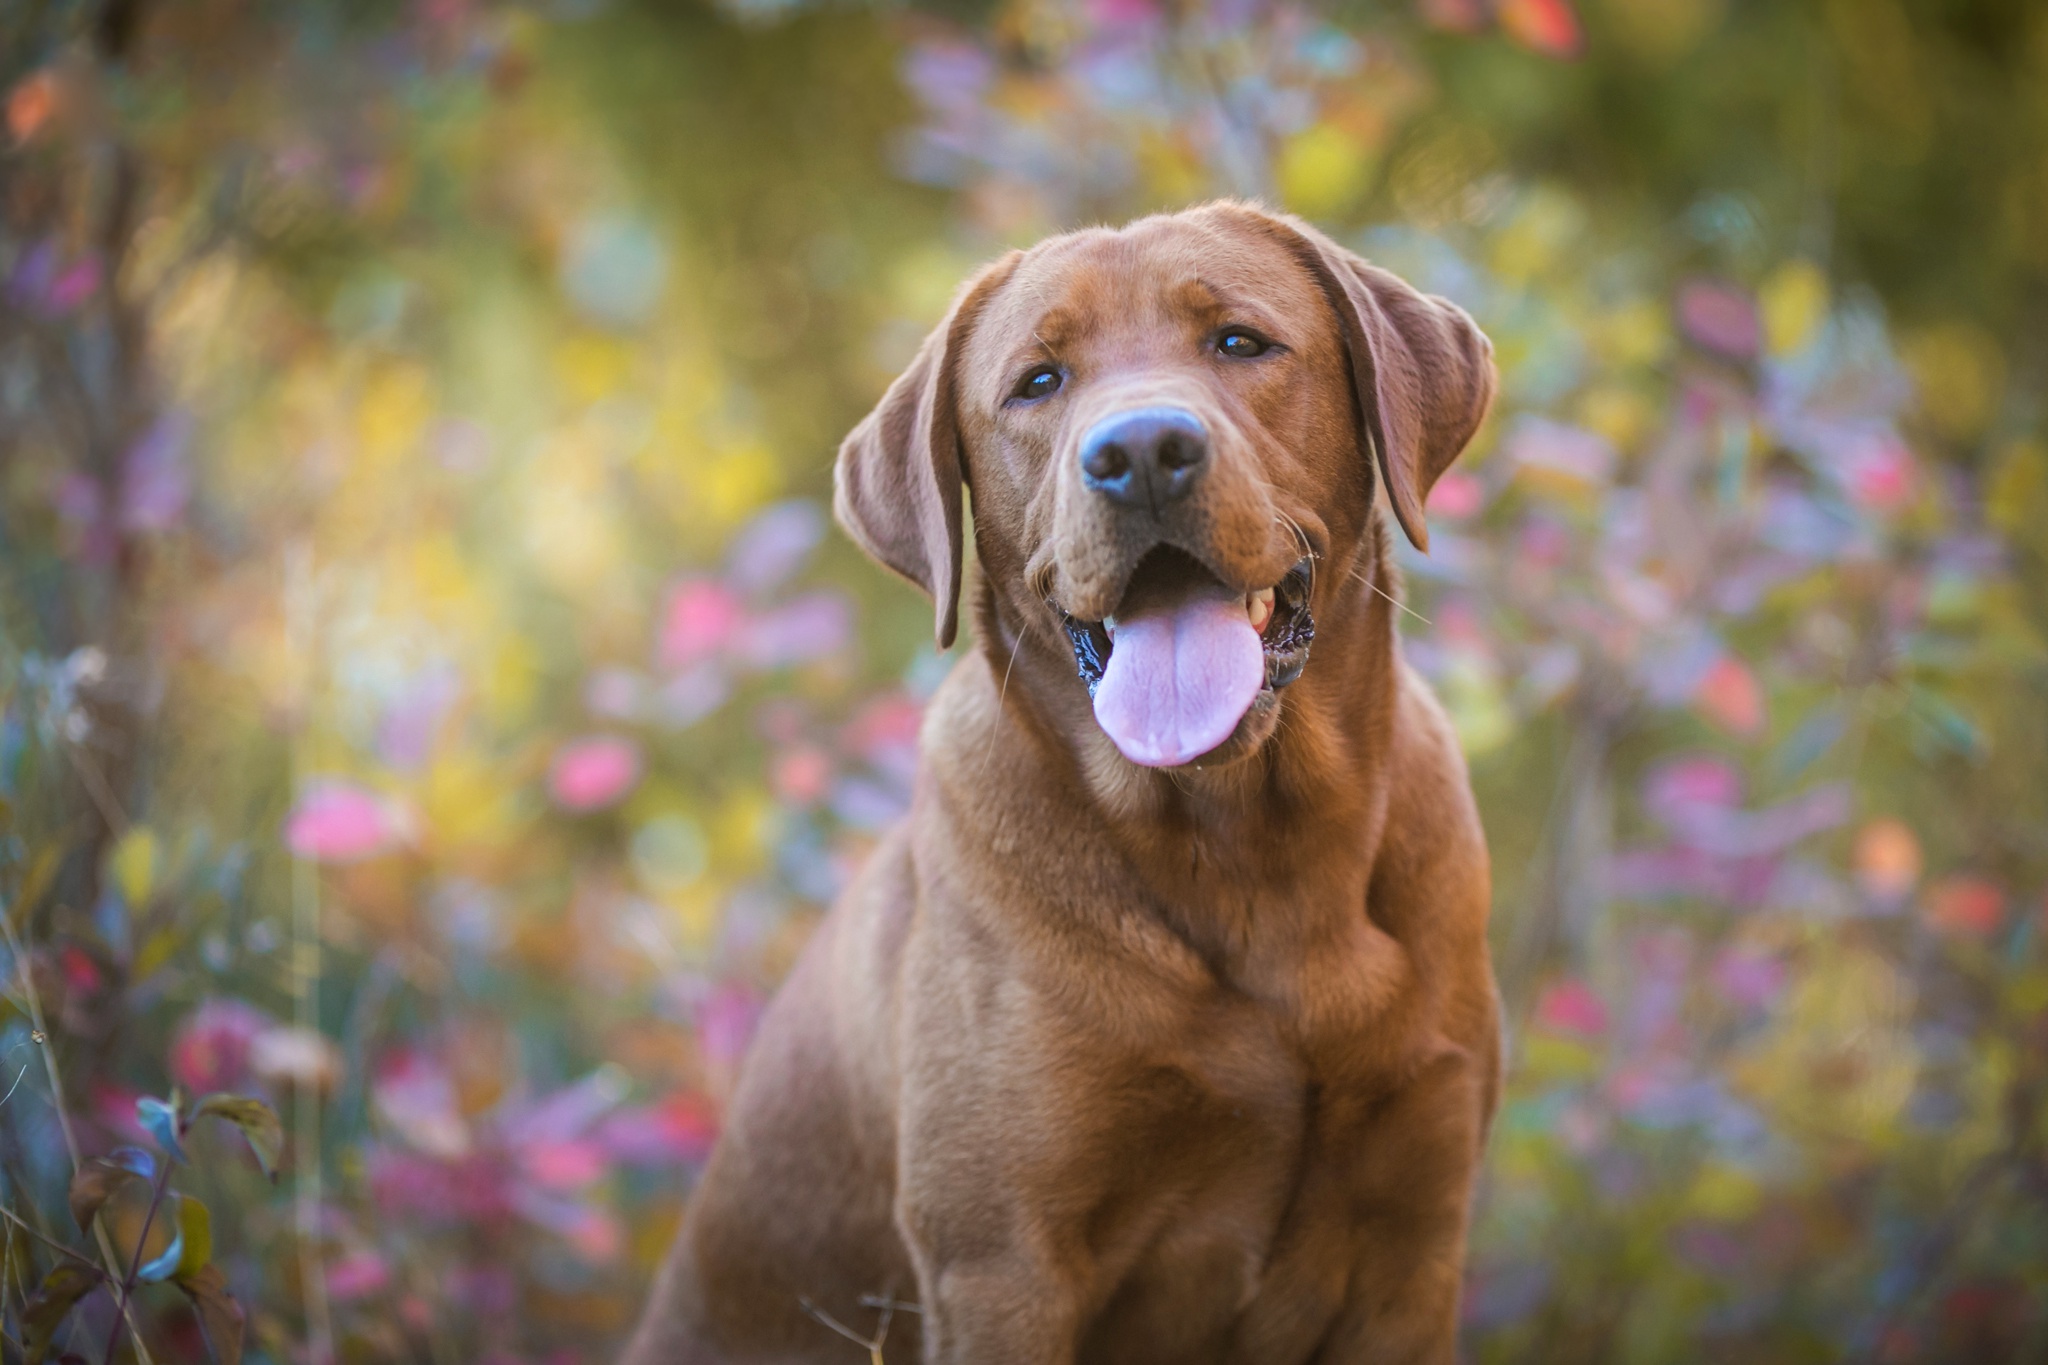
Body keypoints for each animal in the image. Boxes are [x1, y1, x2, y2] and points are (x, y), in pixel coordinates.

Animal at [622, 202, 1507, 1365]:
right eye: (1037, 382)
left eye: (1239, 342)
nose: (1140, 453)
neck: (1254, 856)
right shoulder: (1002, 1268)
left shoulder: (1413, 1250)